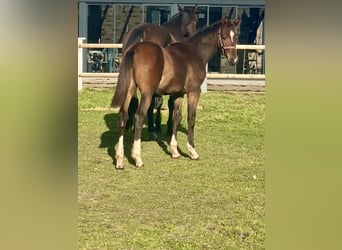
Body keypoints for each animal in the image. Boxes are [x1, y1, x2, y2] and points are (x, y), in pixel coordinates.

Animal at [111, 17, 239, 168]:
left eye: (236, 36)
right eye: (224, 36)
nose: (233, 60)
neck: (195, 53)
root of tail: (134, 50)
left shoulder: (179, 94)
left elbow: (177, 117)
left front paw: (175, 151)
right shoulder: (194, 92)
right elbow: (191, 118)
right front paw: (192, 151)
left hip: (129, 90)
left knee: (123, 116)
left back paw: (120, 159)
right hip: (147, 94)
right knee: (139, 116)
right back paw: (138, 158)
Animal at [123, 3, 198, 140]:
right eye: (196, 19)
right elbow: (168, 103)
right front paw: (166, 127)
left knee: (133, 99)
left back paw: (129, 126)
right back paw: (151, 130)